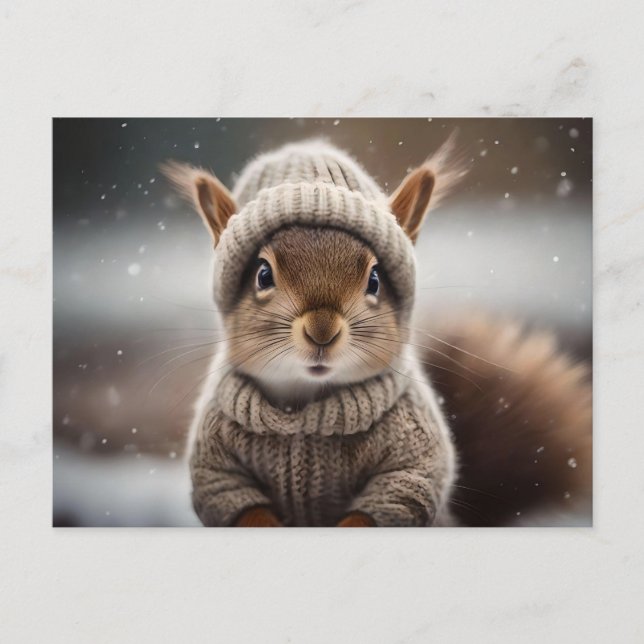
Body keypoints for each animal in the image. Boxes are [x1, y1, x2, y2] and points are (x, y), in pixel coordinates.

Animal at [161, 137, 591, 527]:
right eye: (263, 275)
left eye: (375, 279)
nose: (322, 332)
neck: (305, 409)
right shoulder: (218, 466)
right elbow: (239, 505)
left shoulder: (411, 462)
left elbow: (392, 500)